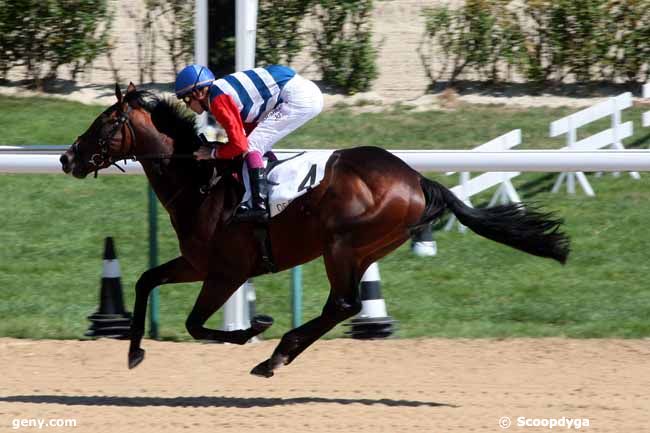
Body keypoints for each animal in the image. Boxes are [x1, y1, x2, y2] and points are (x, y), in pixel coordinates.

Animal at [59, 82, 568, 376]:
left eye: (104, 123)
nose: (67, 157)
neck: (198, 181)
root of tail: (417, 179)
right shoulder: (197, 262)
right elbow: (146, 280)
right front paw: (133, 353)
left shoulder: (226, 271)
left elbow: (195, 324)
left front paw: (253, 326)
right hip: (360, 249)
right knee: (344, 305)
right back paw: (278, 355)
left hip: (341, 245)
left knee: (343, 303)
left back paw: (275, 354)